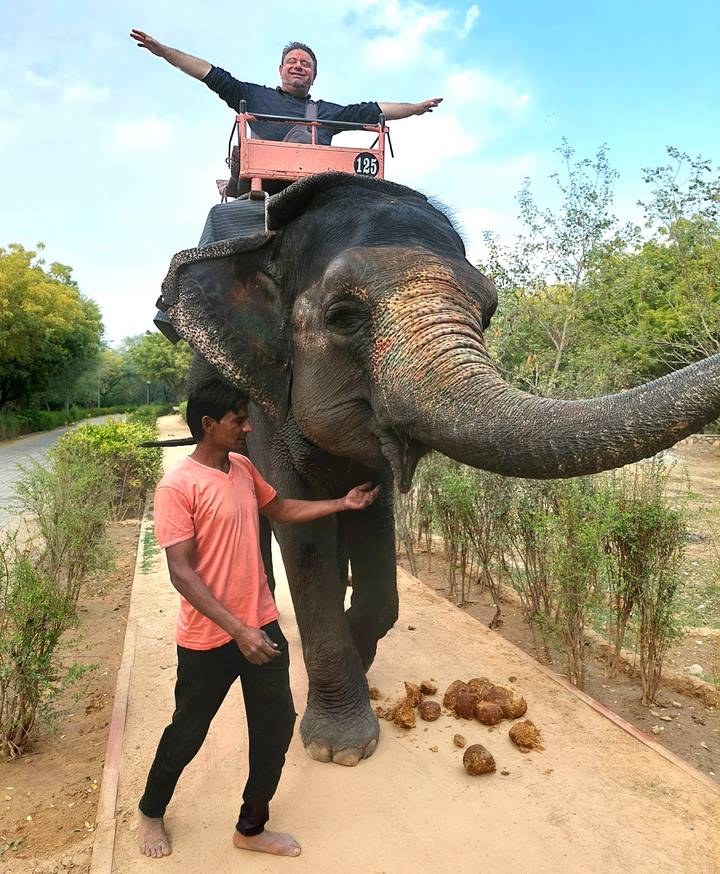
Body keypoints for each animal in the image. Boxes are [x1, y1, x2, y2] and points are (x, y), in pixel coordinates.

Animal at [156, 172, 720, 766]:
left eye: (489, 314)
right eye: (343, 317)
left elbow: (375, 522)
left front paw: (360, 651)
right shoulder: (264, 402)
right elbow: (302, 531)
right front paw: (340, 750)